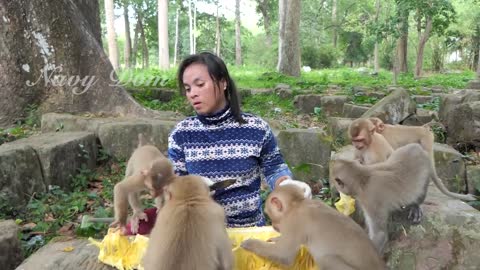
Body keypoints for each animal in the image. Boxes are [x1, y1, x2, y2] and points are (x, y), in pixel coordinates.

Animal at [240, 185, 386, 268]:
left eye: (270, 215)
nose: (274, 226)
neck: (297, 204)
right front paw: (276, 239)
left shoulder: (292, 222)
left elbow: (283, 255)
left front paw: (250, 243)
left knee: (325, 258)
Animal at [332, 144, 478, 252]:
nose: (335, 189)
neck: (362, 177)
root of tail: (422, 151)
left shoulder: (371, 200)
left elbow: (380, 235)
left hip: (424, 174)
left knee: (420, 189)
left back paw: (415, 206)